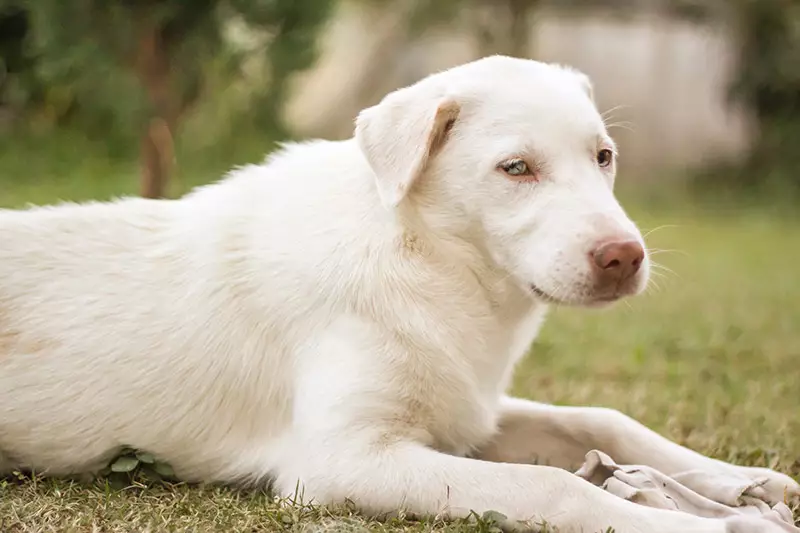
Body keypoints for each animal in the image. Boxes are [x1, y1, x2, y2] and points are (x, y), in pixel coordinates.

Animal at [0, 56, 796, 528]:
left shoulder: (466, 408)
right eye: (516, 168)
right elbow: (558, 486)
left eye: (604, 157)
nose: (625, 257)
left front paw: (744, 480)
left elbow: (601, 420)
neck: (435, 268)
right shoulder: (343, 459)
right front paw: (700, 519)